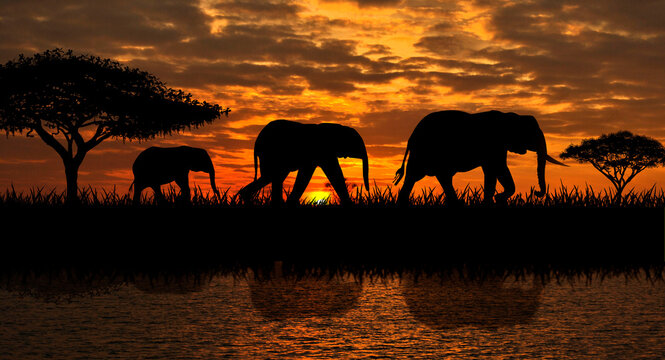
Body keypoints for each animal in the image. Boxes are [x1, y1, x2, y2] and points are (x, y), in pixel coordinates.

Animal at [239, 119, 370, 207]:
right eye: (357, 143)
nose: (367, 191)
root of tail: (256, 143)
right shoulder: (322, 151)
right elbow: (329, 172)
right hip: (270, 154)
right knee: (272, 176)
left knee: (273, 177)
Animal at [394, 109, 564, 205]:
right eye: (531, 133)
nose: (536, 193)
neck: (511, 116)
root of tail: (411, 136)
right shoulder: (494, 144)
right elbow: (498, 169)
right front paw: (498, 199)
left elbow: (494, 172)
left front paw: (494, 200)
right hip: (425, 151)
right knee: (421, 176)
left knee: (425, 177)